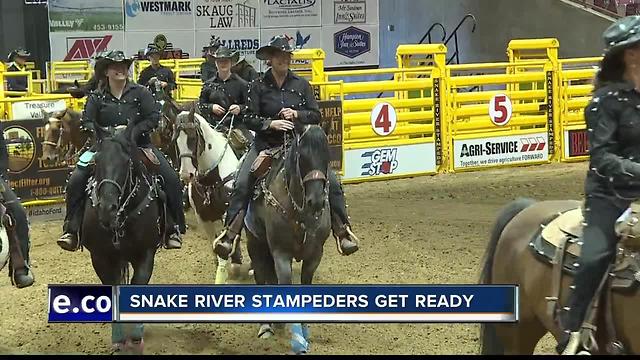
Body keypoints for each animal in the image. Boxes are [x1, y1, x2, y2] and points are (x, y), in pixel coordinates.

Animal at [79, 124, 168, 354]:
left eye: (127, 161)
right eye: (96, 161)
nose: (106, 208)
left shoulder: (146, 254)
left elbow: (137, 284)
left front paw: (135, 337)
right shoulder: (100, 257)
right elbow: (113, 288)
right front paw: (119, 339)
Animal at [171, 106, 244, 282]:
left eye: (192, 138)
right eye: (175, 140)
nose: (186, 175)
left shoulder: (229, 214)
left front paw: (235, 263)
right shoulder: (203, 217)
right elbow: (214, 242)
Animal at [240, 122, 330, 352]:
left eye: (326, 155)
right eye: (302, 156)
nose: (316, 201)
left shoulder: (315, 255)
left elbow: (305, 285)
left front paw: (305, 330)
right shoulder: (281, 253)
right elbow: (285, 283)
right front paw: (296, 338)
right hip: (255, 242)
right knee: (261, 275)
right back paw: (266, 327)